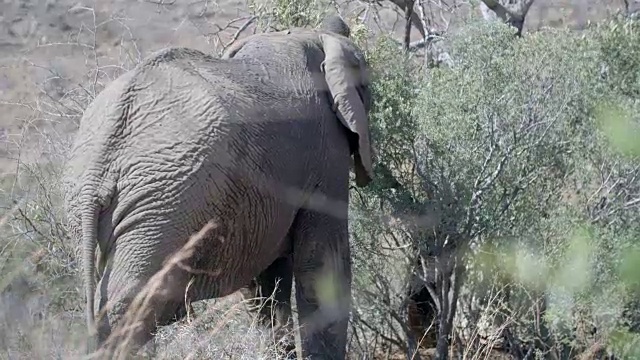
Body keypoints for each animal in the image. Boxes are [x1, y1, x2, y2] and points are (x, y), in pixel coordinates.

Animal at [62, 15, 372, 360]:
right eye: (369, 89)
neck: (305, 35)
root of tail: (104, 148)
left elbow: (267, 281)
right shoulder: (325, 151)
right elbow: (322, 268)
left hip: (96, 203)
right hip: (168, 203)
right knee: (134, 302)